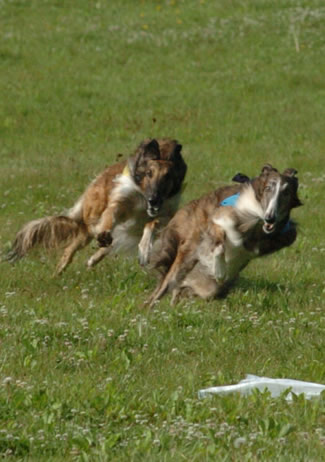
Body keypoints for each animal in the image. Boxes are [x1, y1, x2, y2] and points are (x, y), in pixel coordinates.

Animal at [5, 137, 186, 274]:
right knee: (70, 250)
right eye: (149, 173)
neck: (142, 198)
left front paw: (144, 249)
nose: (153, 199)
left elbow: (152, 223)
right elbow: (110, 217)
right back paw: (58, 274)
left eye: (167, 176)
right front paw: (105, 234)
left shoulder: (165, 213)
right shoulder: (119, 203)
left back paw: (92, 259)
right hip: (90, 224)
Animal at [148, 163, 300, 306]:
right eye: (268, 188)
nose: (270, 218)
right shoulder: (217, 221)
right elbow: (221, 244)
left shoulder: (282, 236)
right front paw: (220, 272)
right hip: (187, 252)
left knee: (182, 287)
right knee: (163, 287)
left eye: (286, 192)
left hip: (208, 287)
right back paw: (148, 307)